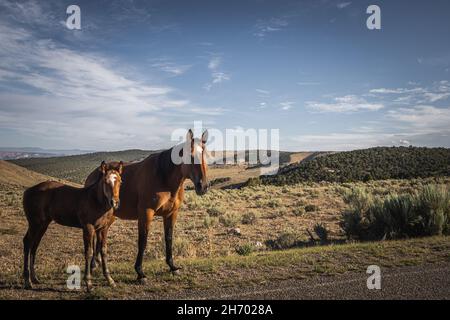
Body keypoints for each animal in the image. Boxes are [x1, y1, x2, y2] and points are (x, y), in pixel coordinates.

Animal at [22, 161, 123, 292]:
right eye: (106, 181)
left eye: (120, 181)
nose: (114, 202)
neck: (95, 200)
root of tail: (28, 191)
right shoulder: (88, 228)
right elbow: (89, 252)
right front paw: (88, 283)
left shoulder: (103, 229)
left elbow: (103, 251)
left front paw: (110, 280)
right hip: (34, 223)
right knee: (27, 243)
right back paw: (27, 281)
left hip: (43, 224)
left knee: (34, 245)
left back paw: (34, 278)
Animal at [84, 129, 209, 282]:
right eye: (190, 156)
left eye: (205, 154)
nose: (203, 186)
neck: (163, 177)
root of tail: (92, 175)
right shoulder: (146, 213)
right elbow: (142, 241)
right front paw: (140, 273)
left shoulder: (171, 214)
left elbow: (169, 238)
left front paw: (172, 266)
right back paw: (94, 265)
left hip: (110, 217)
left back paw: (96, 264)